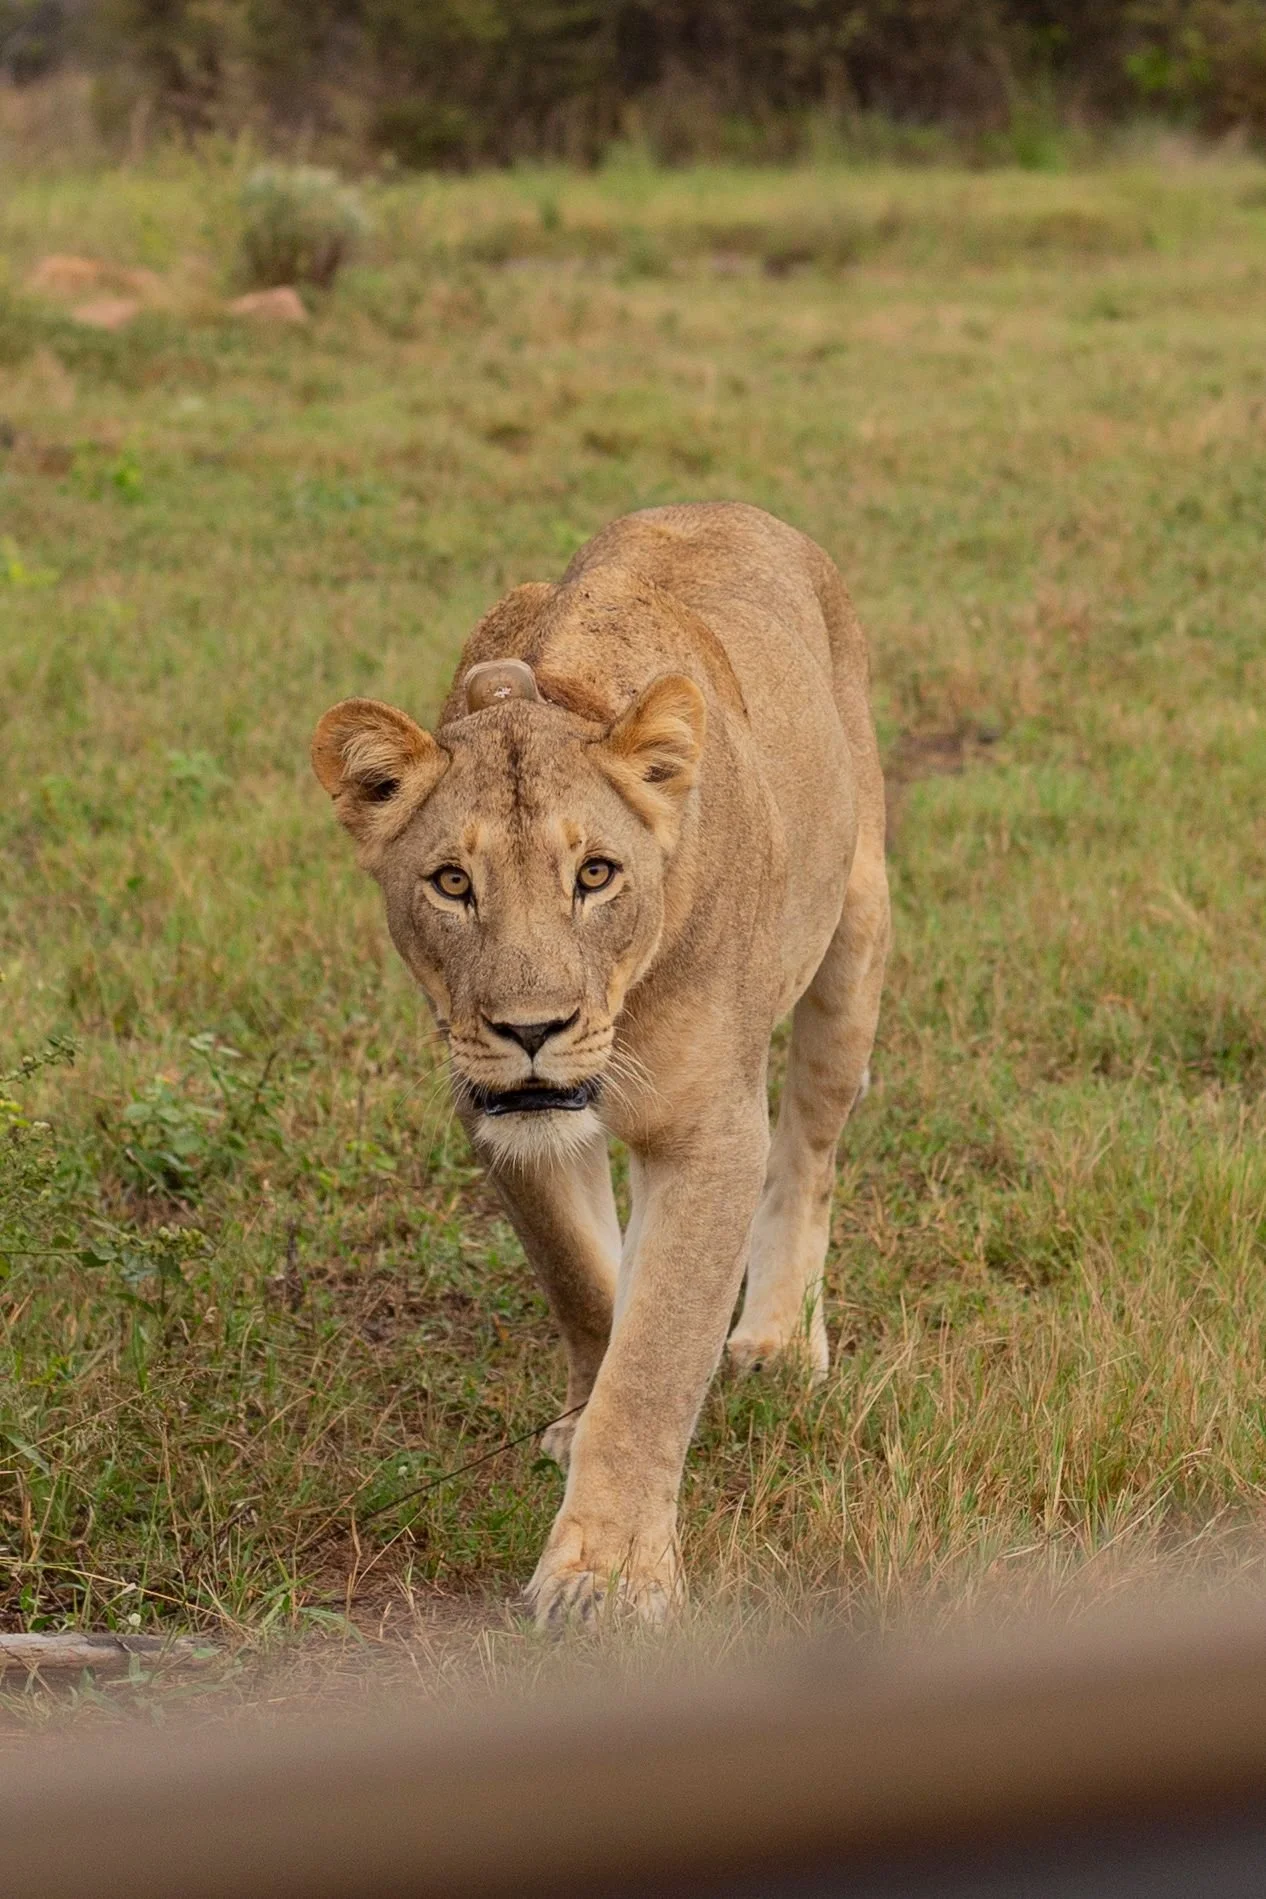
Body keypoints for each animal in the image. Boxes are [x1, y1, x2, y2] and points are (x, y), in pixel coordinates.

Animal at [311, 502, 890, 1625]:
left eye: (595, 875)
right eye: (452, 882)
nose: (532, 1029)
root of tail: (740, 507)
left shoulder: (711, 1132)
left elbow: (657, 1355)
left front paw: (608, 1575)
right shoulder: (496, 1112)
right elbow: (586, 1278)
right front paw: (585, 1416)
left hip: (855, 927)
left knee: (812, 1145)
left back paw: (778, 1342)